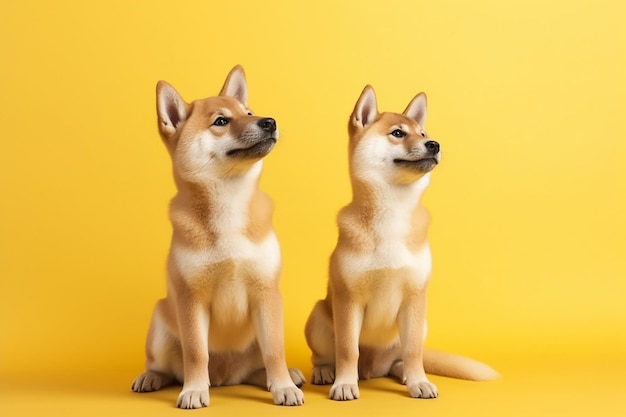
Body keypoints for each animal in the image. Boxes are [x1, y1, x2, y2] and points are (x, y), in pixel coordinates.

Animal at [131, 66, 304, 408]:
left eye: (249, 112)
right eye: (221, 121)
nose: (269, 121)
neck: (229, 204)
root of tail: (228, 377)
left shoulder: (266, 292)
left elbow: (275, 351)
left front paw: (283, 387)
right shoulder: (191, 298)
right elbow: (196, 353)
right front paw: (195, 390)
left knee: (261, 364)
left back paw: (287, 376)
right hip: (160, 323)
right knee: (166, 367)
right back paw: (151, 377)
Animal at [302, 85, 498, 400]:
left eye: (423, 132)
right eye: (397, 133)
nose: (435, 144)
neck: (392, 211)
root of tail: (372, 370)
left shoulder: (415, 298)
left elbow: (414, 349)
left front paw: (419, 381)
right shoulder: (348, 300)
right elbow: (347, 349)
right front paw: (344, 383)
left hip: (419, 324)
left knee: (400, 358)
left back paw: (404, 373)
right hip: (318, 316)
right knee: (324, 355)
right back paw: (324, 371)